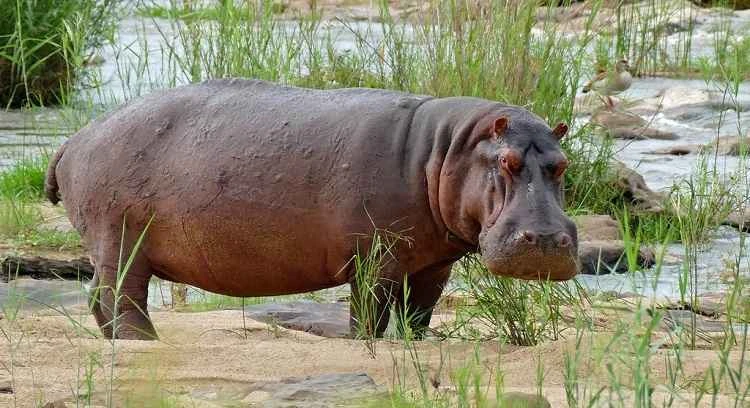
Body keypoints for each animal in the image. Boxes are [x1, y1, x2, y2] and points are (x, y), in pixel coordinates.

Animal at [45, 79, 578, 340]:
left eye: (562, 164)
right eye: (506, 162)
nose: (547, 241)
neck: (446, 150)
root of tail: (76, 137)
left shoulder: (433, 263)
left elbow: (419, 313)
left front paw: (416, 343)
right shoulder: (374, 257)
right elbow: (369, 312)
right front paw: (365, 344)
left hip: (110, 243)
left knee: (100, 297)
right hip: (119, 237)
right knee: (121, 296)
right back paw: (145, 341)